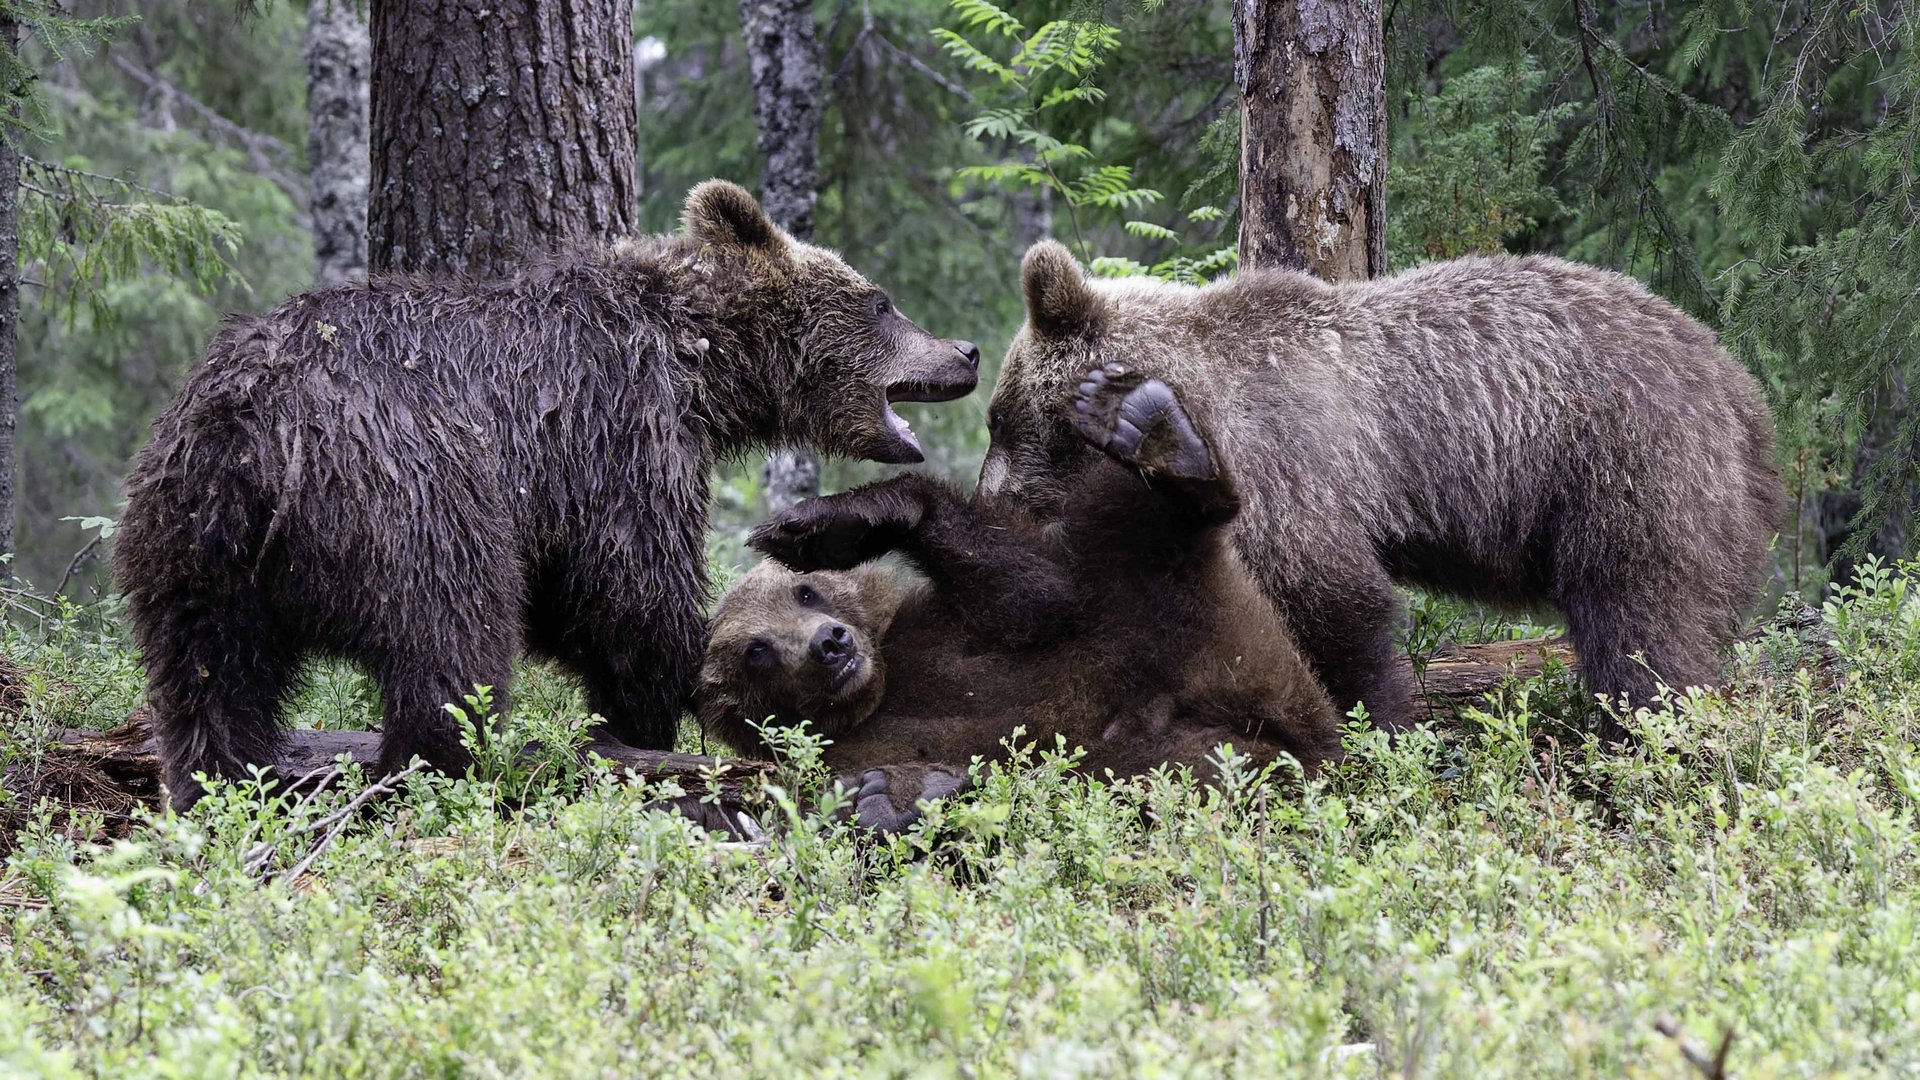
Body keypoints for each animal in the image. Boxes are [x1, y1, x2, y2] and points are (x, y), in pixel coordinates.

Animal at [118, 180, 983, 803]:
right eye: (880, 301)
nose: (967, 349)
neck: (699, 358)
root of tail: (249, 434)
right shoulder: (619, 432)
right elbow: (627, 590)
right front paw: (660, 703)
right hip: (409, 491)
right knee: (452, 638)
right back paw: (448, 766)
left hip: (188, 541)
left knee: (209, 678)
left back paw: (220, 783)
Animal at [698, 365, 1344, 826]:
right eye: (756, 650)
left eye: (805, 593)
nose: (830, 643)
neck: (878, 692)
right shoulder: (829, 759)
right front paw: (890, 798)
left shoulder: (931, 629)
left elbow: (1038, 599)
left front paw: (833, 522)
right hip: (1216, 719)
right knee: (1154, 766)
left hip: (1203, 614)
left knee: (1128, 540)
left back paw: (1153, 432)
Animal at [983, 242, 1789, 730]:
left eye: (996, 419)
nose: (993, 496)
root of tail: (1740, 388)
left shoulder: (1286, 470)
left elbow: (1335, 606)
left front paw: (1379, 725)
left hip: (1629, 465)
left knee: (1642, 624)